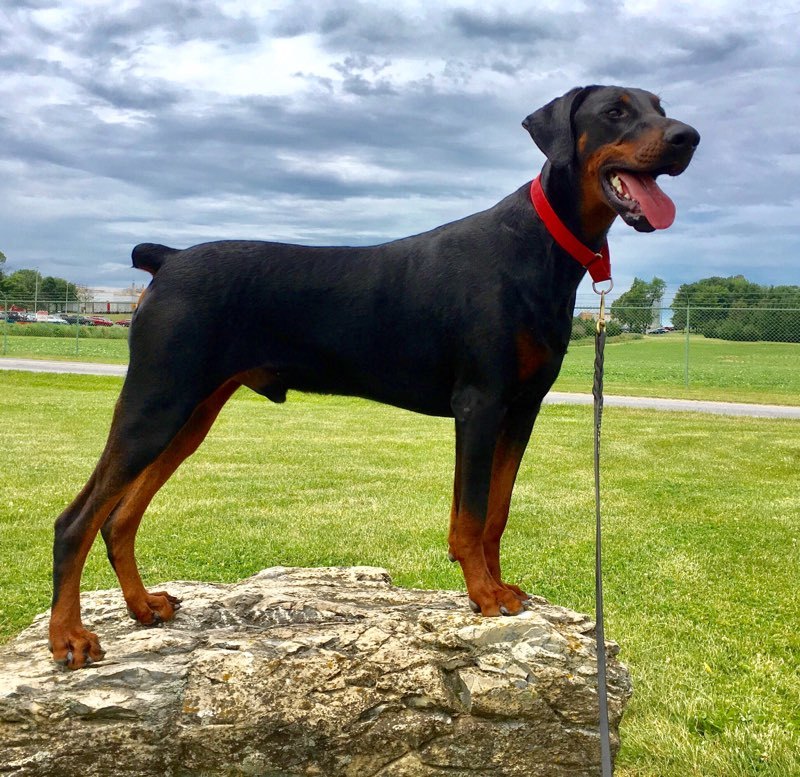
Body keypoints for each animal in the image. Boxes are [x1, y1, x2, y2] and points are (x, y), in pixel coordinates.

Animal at [50, 85, 696, 668]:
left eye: (660, 107)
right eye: (615, 111)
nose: (687, 137)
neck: (541, 245)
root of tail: (168, 260)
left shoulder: (522, 407)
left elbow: (496, 511)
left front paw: (499, 586)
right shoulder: (480, 403)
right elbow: (470, 515)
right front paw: (483, 595)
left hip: (191, 413)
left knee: (119, 519)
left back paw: (142, 607)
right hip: (156, 401)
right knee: (77, 520)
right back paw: (70, 639)